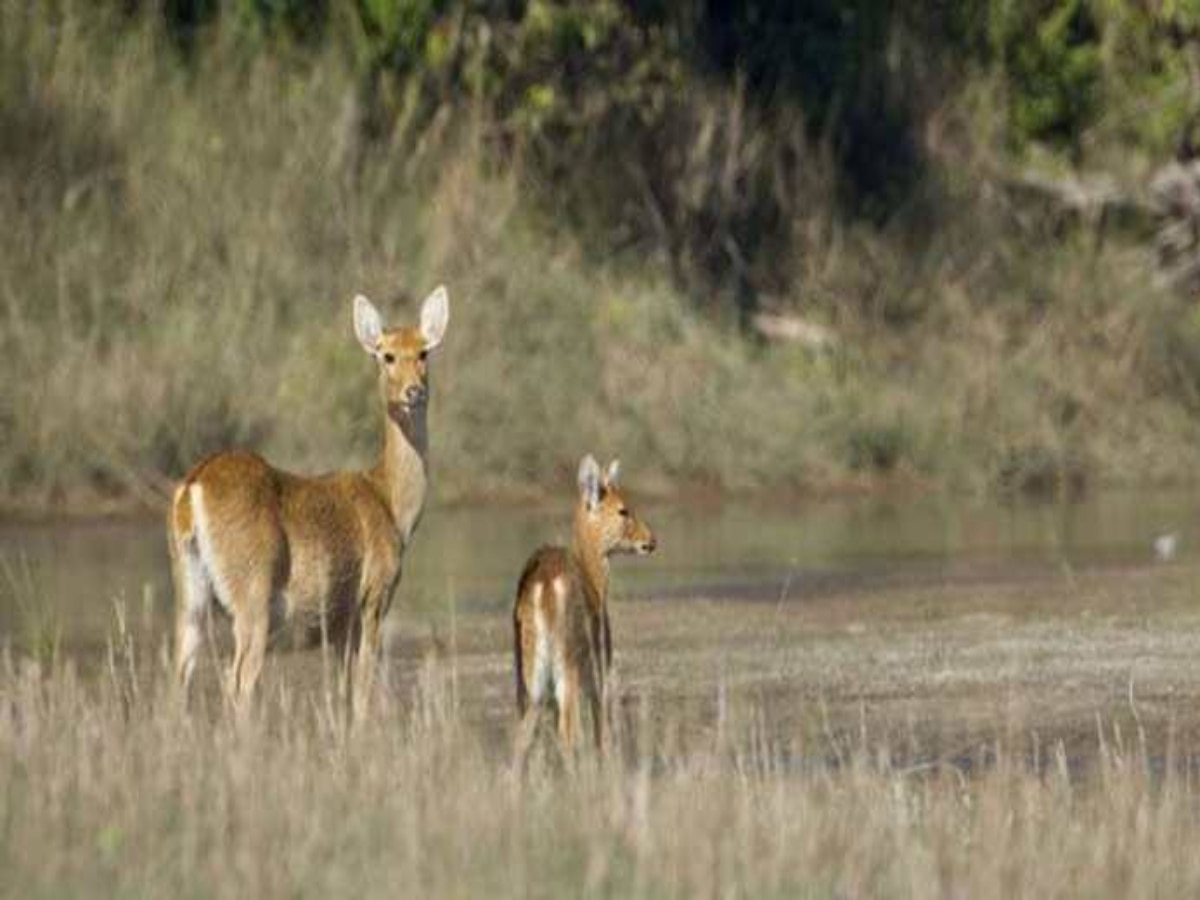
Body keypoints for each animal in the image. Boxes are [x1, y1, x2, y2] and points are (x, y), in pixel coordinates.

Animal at [169, 289, 451, 710]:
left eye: (424, 352)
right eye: (385, 355)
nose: (413, 391)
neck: (391, 504)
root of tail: (192, 488)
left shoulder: (337, 622)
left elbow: (342, 690)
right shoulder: (372, 596)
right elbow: (362, 691)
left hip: (189, 592)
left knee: (179, 675)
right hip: (251, 593)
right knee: (239, 682)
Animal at [508, 453, 657, 763]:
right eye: (623, 509)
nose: (651, 540)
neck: (595, 582)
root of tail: (544, 585)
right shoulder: (599, 671)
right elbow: (601, 733)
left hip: (529, 674)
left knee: (521, 737)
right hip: (568, 665)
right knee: (568, 733)